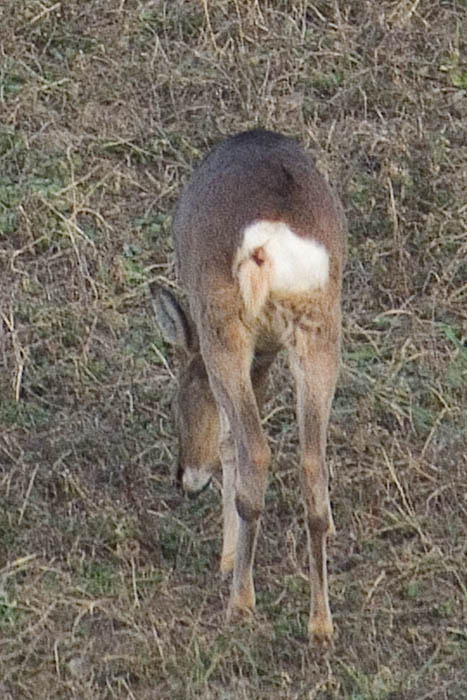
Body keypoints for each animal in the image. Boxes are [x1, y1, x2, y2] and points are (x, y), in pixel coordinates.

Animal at [152, 129, 346, 644]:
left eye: (173, 405)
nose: (183, 477)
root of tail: (268, 248)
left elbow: (225, 442)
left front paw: (225, 559)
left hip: (227, 329)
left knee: (253, 451)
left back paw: (240, 602)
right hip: (320, 331)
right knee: (312, 463)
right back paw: (321, 624)